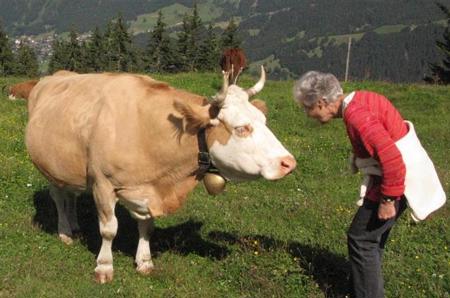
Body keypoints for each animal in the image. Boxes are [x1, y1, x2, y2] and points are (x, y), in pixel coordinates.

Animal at [26, 66, 298, 282]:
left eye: (264, 120)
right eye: (242, 128)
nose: (288, 163)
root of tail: (54, 76)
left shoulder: (149, 190)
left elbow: (147, 227)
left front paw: (145, 262)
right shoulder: (102, 183)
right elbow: (109, 229)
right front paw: (104, 267)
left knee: (71, 195)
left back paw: (74, 225)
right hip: (47, 168)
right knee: (59, 198)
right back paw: (65, 232)